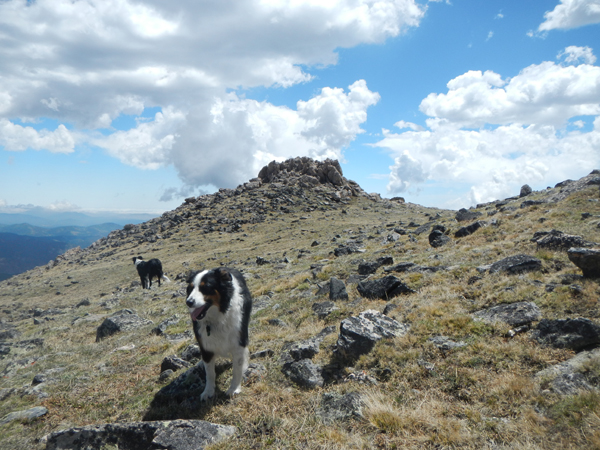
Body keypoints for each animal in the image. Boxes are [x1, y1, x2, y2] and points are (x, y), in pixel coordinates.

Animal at [188, 266, 253, 400]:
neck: (217, 318)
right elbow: (209, 373)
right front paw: (208, 391)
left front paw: (234, 389)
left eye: (205, 287)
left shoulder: (239, 342)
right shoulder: (205, 345)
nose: (189, 302)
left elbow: (237, 369)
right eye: (190, 288)